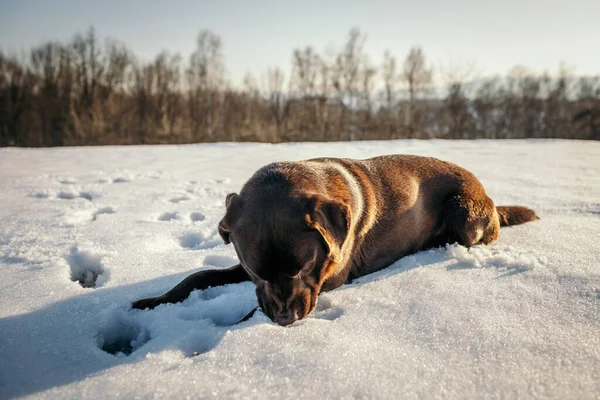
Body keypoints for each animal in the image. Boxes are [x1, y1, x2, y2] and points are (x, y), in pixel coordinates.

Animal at [132, 155, 540, 326]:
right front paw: (151, 302)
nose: (285, 320)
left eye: (304, 267)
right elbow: (197, 277)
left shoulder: (331, 276)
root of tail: (488, 195)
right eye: (257, 272)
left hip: (464, 211)